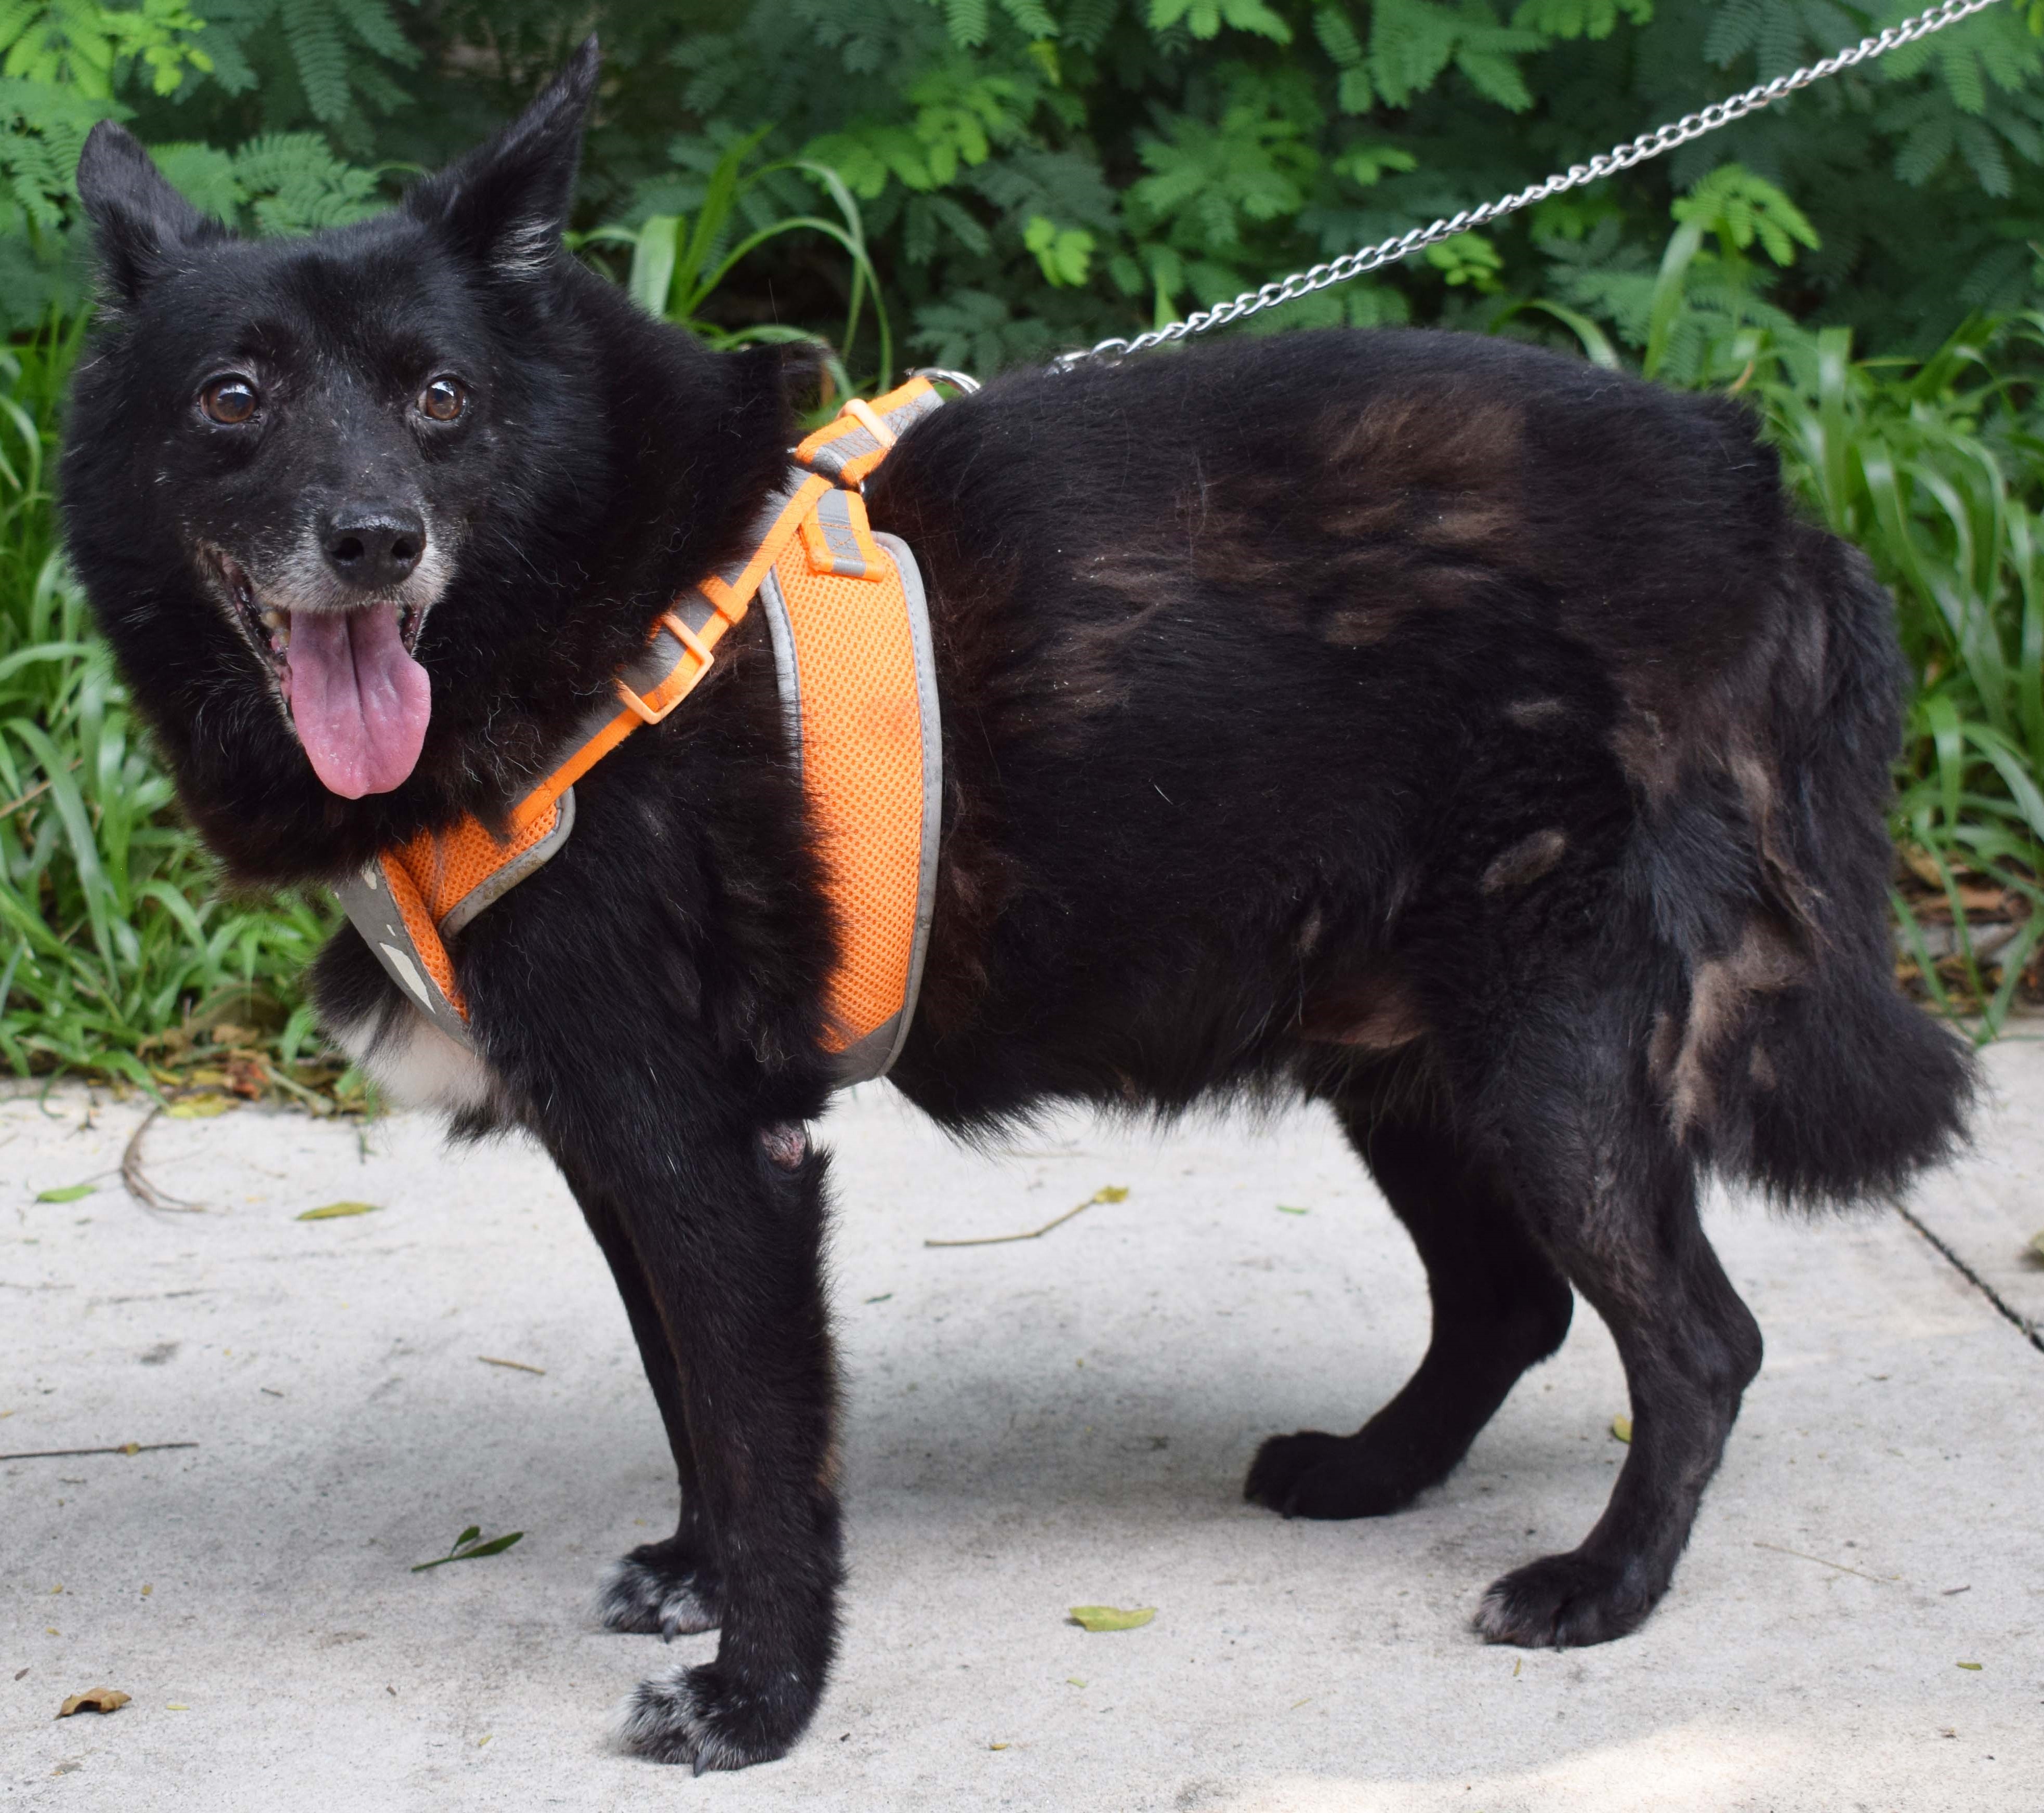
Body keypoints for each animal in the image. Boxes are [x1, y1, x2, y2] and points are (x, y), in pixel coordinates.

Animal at [56, 42, 1970, 1774]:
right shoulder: (620, 1142)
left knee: (1698, 1340)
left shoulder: (712, 1151)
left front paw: (759, 1698)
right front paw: (696, 1576)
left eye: (440, 397)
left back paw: (1604, 1587)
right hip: (1404, 1050)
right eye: (233, 396)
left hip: (1543, 1055)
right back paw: (1371, 1471)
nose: (374, 540)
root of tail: (1764, 495)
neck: (592, 598)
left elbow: (766, 1441)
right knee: (1512, 1304)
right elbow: (696, 1406)